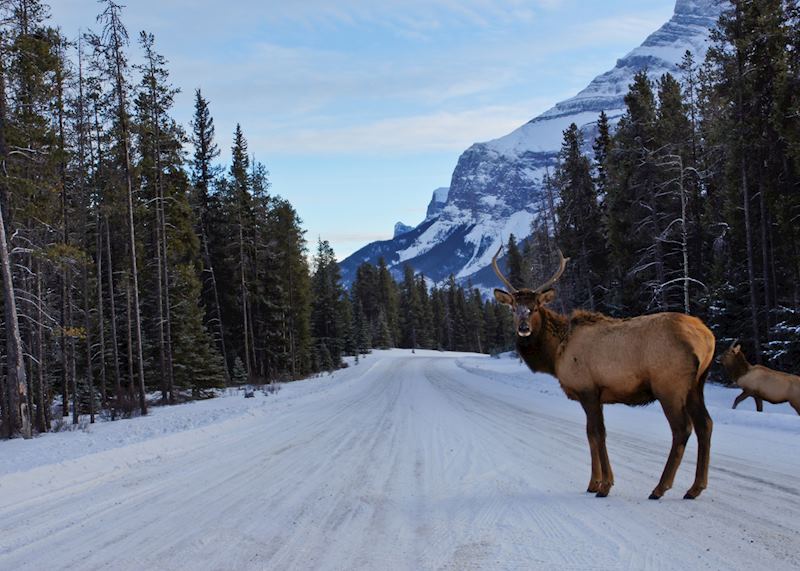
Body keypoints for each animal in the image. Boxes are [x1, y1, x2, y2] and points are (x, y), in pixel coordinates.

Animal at [492, 247, 715, 499]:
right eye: (513, 308)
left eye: (535, 307)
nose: (523, 328)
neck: (555, 355)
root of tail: (707, 337)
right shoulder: (596, 395)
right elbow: (593, 435)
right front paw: (594, 483)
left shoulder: (587, 389)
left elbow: (597, 433)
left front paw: (604, 485)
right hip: (697, 384)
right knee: (705, 424)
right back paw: (695, 487)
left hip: (669, 385)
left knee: (682, 428)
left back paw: (660, 487)